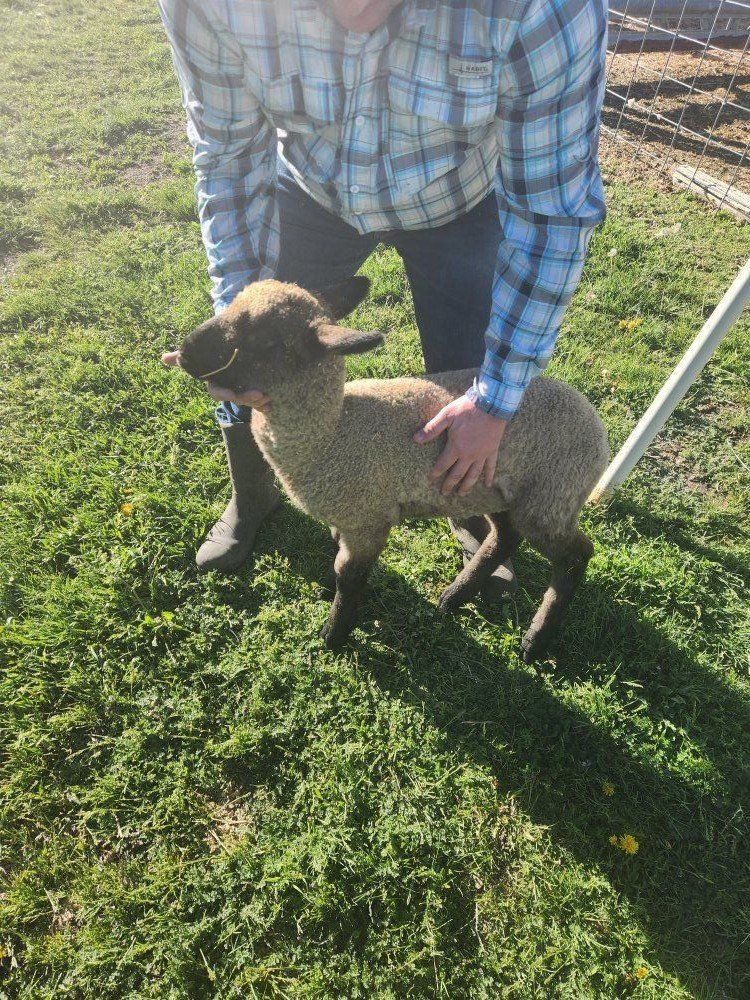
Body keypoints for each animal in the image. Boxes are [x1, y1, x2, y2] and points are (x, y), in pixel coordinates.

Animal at [175, 276, 610, 661]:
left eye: (263, 339)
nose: (185, 351)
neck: (332, 433)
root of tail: (598, 429)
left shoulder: (366, 520)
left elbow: (348, 576)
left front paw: (334, 635)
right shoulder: (348, 519)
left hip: (551, 498)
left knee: (576, 555)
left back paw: (534, 640)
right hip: (494, 490)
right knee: (505, 536)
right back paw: (455, 597)